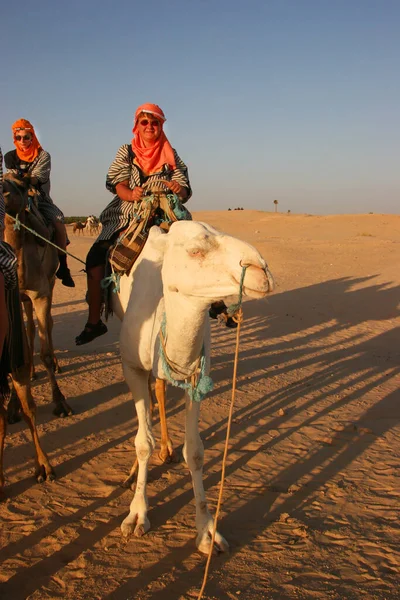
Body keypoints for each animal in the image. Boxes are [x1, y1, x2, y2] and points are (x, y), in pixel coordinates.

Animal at [3, 172, 73, 418]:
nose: (4, 191)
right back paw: (32, 372)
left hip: (50, 283)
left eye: (22, 184)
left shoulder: (41, 294)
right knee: (30, 328)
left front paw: (60, 402)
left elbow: (45, 352)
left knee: (48, 324)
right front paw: (13, 407)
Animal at [113, 220, 276, 552]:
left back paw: (167, 450)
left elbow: (196, 451)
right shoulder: (132, 367)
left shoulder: (196, 376)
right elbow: (142, 443)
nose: (261, 270)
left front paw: (207, 530)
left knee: (160, 387)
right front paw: (137, 514)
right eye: (195, 250)